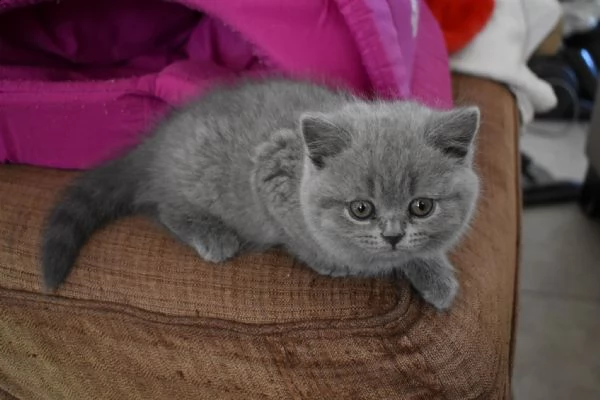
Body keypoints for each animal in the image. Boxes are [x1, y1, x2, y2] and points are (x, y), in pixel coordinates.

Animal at [42, 77, 480, 310]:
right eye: (361, 209)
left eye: (421, 207)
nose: (392, 235)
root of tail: (156, 142)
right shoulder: (271, 172)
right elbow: (303, 240)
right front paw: (336, 263)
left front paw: (435, 275)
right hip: (198, 182)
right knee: (166, 207)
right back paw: (213, 235)